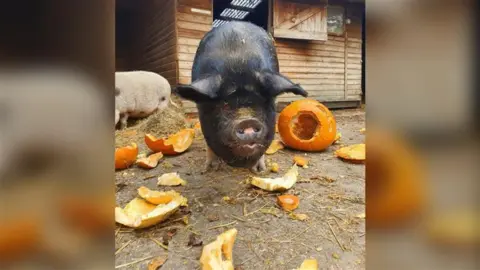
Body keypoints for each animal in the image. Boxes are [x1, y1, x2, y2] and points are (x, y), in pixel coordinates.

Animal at [176, 21, 308, 173]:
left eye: (261, 103)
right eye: (225, 104)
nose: (247, 121)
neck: (237, 64)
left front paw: (259, 170)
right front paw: (210, 168)